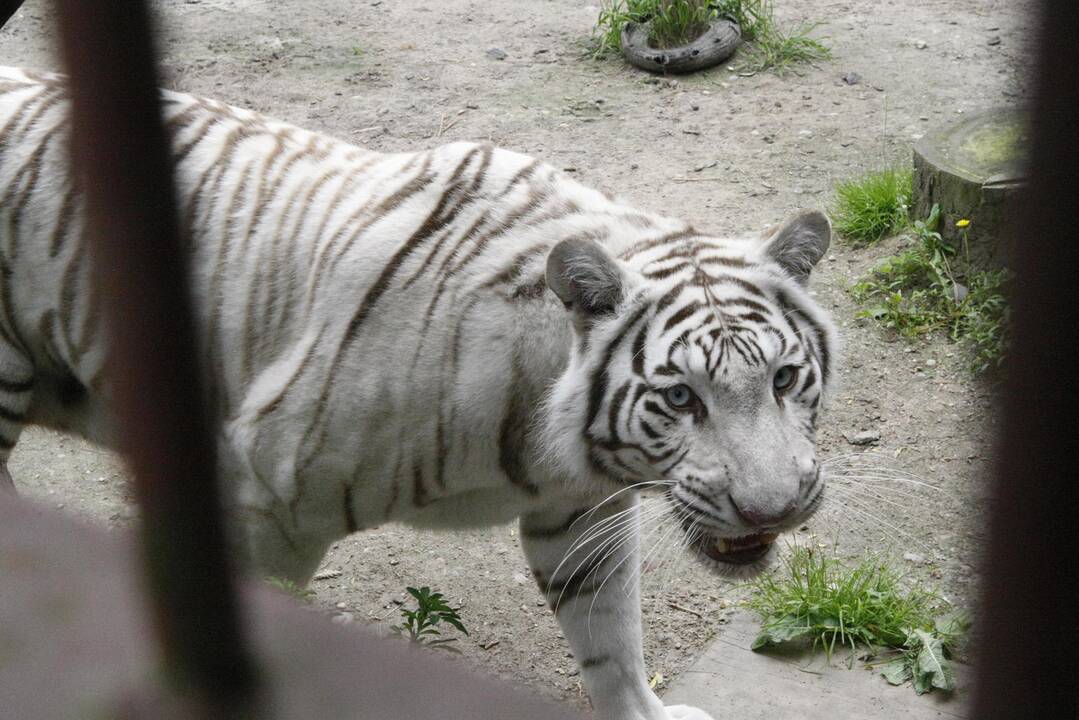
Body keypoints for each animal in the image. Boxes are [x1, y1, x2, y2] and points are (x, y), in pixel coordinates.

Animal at [2, 67, 832, 720]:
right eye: (682, 398)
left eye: (783, 378)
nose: (772, 511)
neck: (548, 427)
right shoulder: (263, 496)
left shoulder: (581, 510)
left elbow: (609, 633)